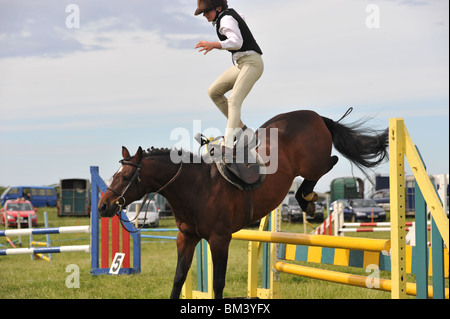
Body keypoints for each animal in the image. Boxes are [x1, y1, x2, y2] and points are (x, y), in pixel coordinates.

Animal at [97, 110, 386, 300]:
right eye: (114, 175)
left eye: (125, 177)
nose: (103, 207)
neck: (195, 187)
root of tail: (314, 115)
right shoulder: (187, 238)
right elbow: (179, 279)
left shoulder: (219, 239)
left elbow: (218, 283)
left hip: (312, 163)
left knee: (330, 163)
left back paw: (307, 200)